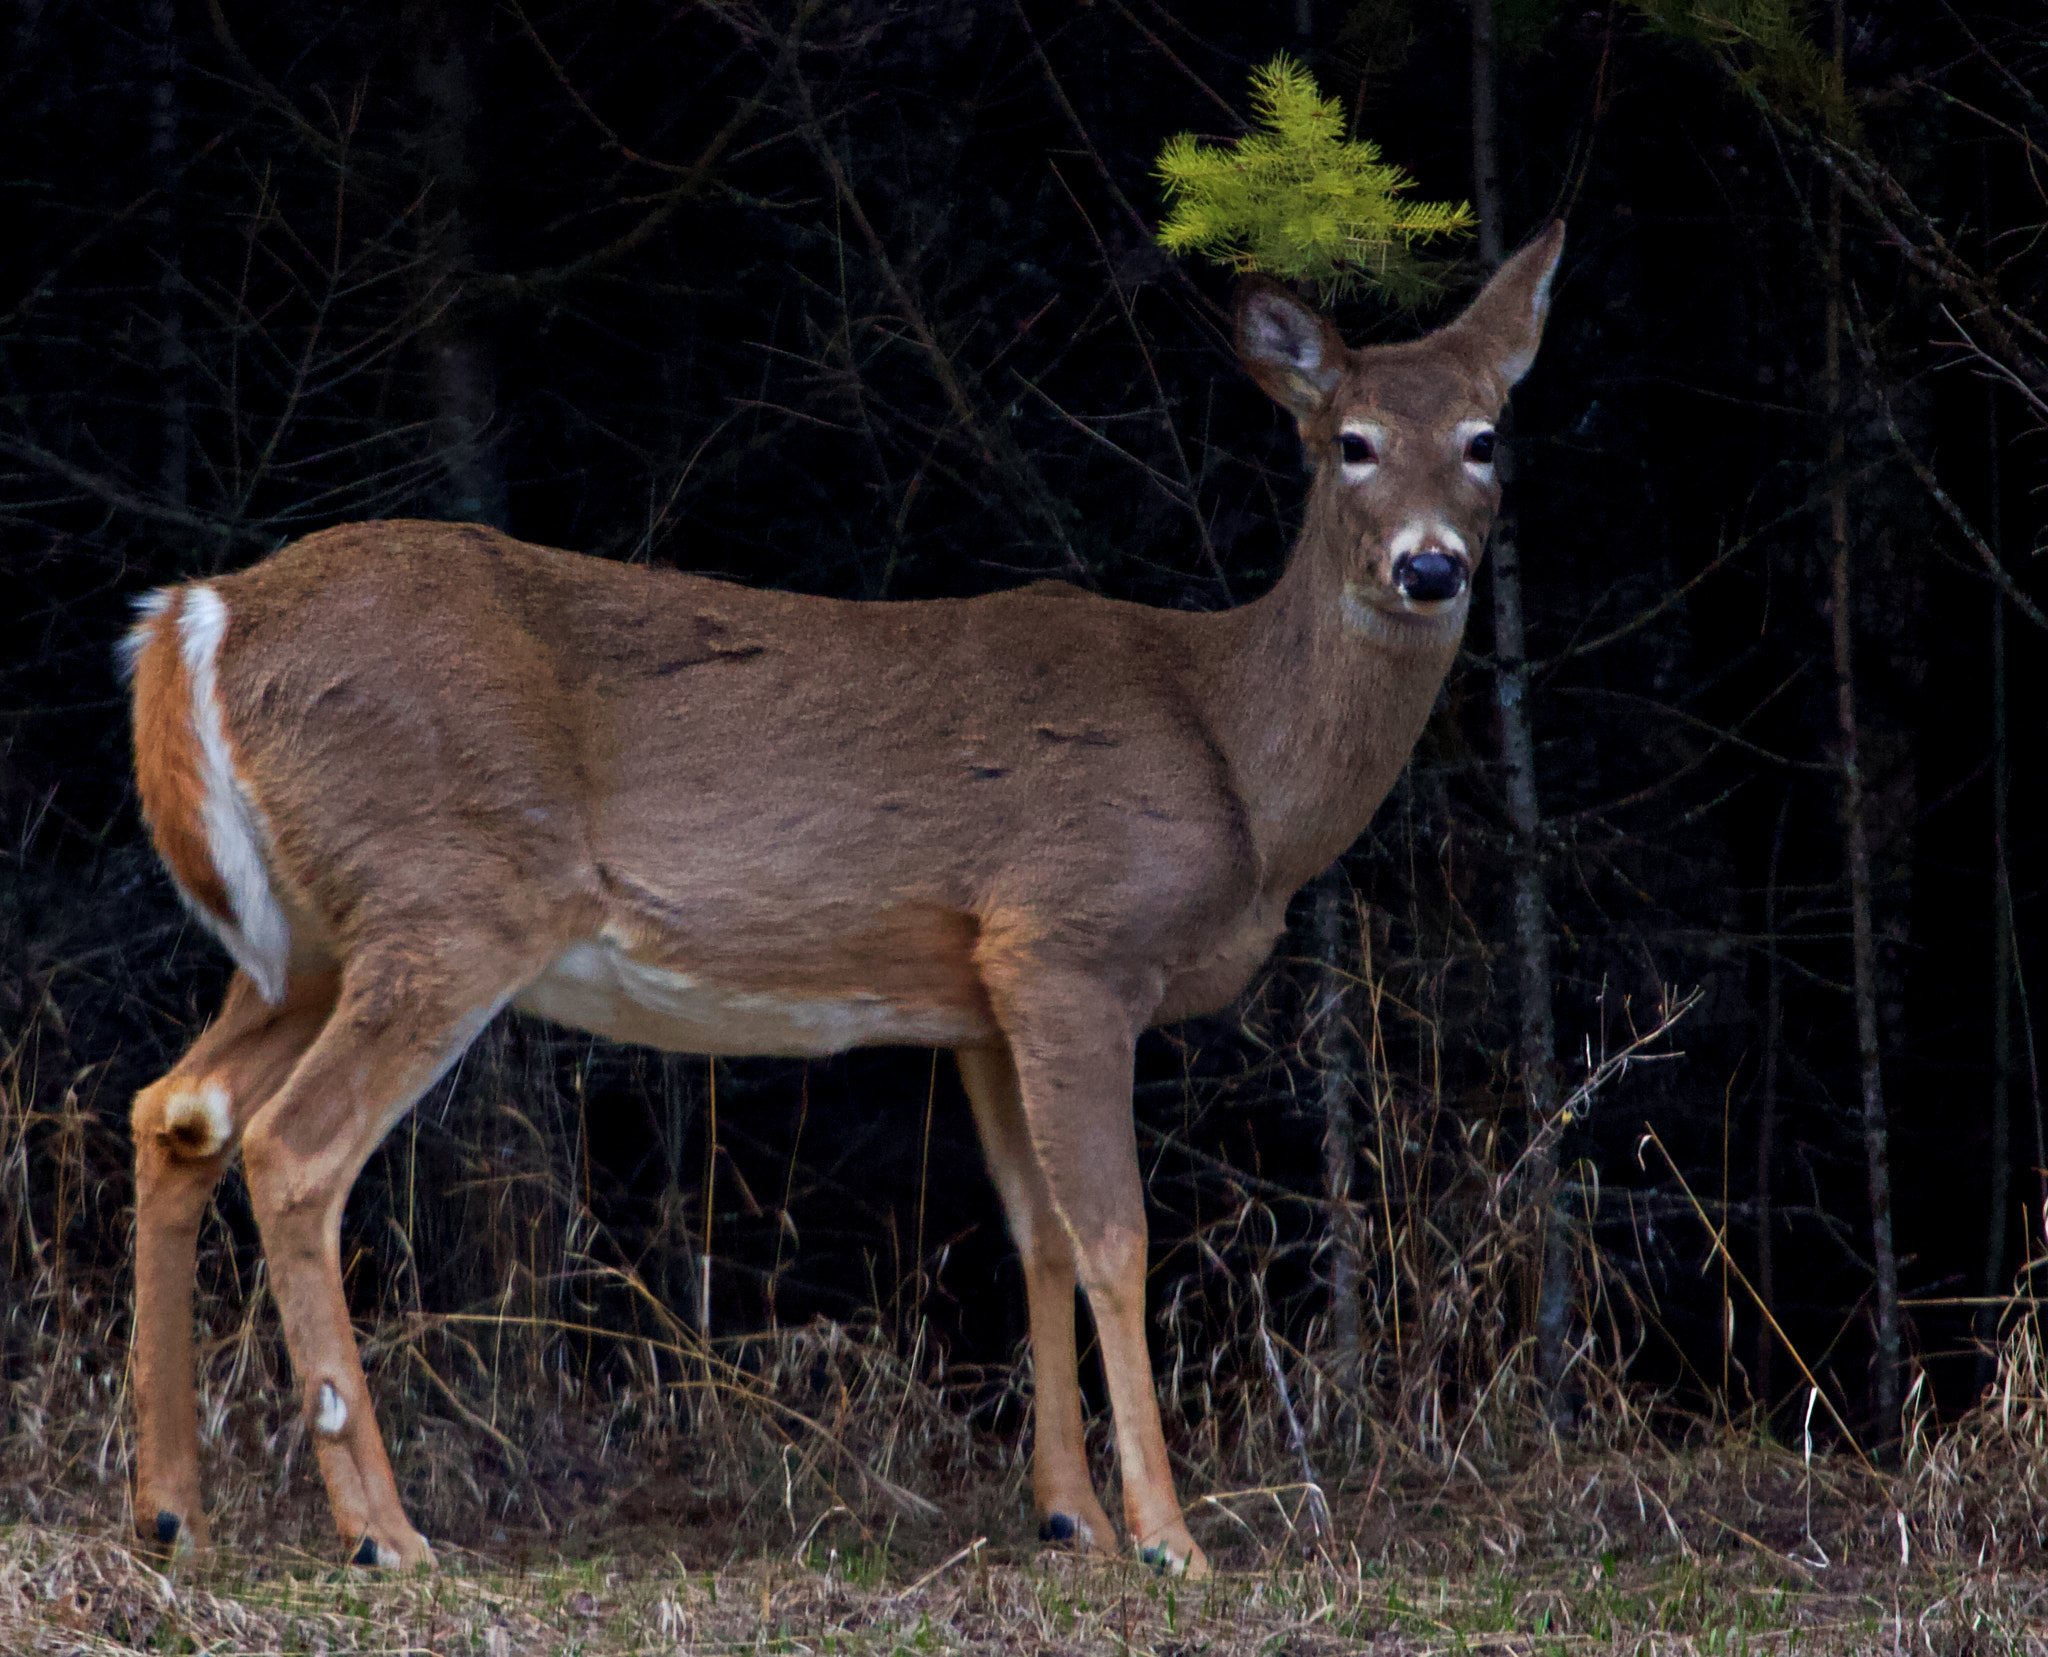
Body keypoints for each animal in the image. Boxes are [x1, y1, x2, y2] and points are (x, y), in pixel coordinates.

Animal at [119, 223, 1556, 1581]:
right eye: (1350, 444)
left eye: (1484, 439)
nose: (1430, 569)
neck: (1238, 764)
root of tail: (203, 613)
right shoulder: (1069, 940)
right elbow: (1115, 1237)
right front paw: (1167, 1537)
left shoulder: (980, 992)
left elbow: (1034, 1235)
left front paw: (1071, 1518)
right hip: (451, 897)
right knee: (295, 1148)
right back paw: (383, 1533)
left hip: (310, 939)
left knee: (176, 1110)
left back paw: (172, 1509)